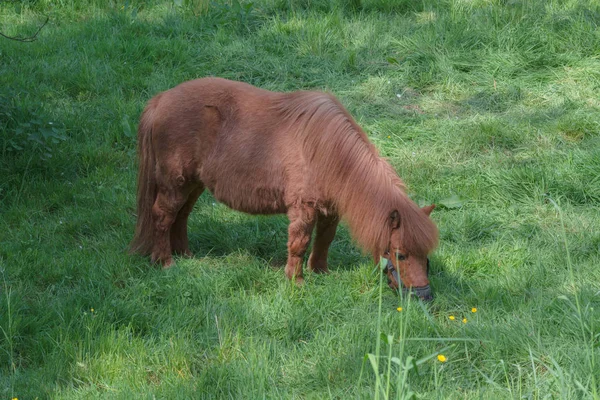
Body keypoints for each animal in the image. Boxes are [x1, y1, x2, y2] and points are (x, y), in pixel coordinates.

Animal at [131, 77, 438, 296]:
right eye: (400, 254)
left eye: (427, 255)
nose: (423, 295)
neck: (326, 150)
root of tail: (160, 101)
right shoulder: (304, 208)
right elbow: (299, 244)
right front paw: (296, 281)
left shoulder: (330, 210)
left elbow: (324, 240)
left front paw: (320, 273)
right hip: (175, 184)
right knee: (163, 217)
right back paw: (165, 262)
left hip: (193, 184)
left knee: (181, 217)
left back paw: (186, 255)